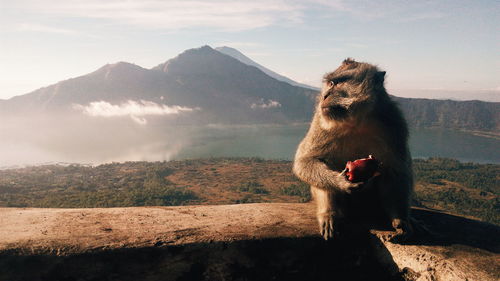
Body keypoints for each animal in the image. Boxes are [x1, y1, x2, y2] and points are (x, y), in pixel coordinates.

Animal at [292, 58, 412, 240]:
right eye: (330, 83)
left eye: (337, 83)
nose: (324, 96)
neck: (357, 121)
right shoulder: (321, 120)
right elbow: (305, 161)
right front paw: (341, 182)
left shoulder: (394, 122)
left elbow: (395, 171)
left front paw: (399, 219)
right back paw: (329, 214)